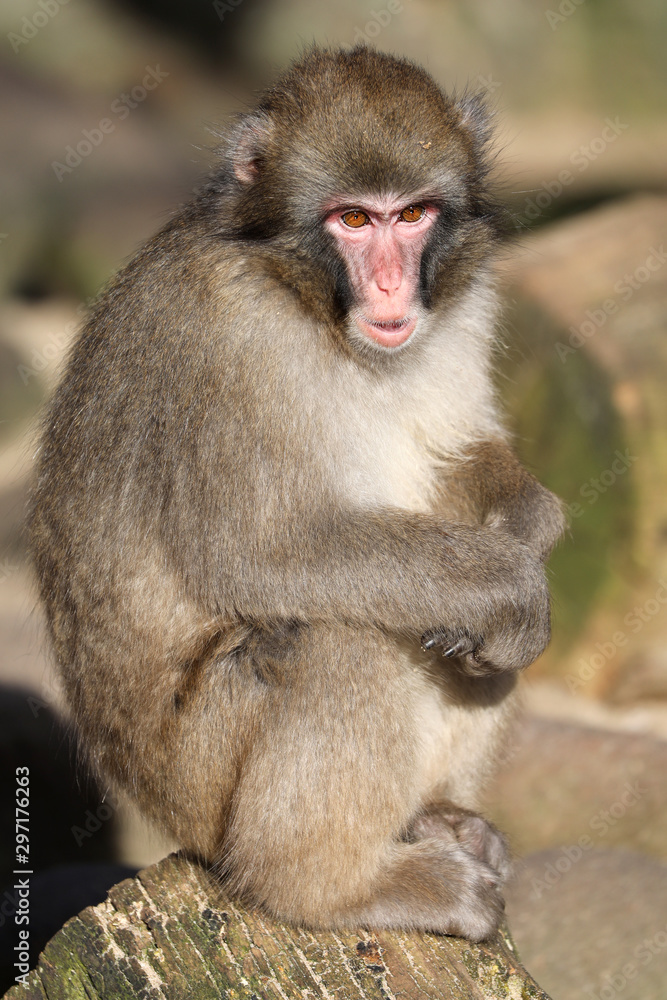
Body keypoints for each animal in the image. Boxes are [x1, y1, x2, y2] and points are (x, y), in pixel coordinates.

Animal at [28, 46, 565, 942]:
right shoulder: (231, 345)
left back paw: (437, 815)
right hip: (200, 775)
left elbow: (459, 454)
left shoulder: (464, 302)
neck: (303, 299)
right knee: (340, 635)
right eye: (351, 221)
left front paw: (526, 527)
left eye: (411, 215)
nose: (388, 290)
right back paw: (331, 888)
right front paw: (511, 584)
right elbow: (260, 552)